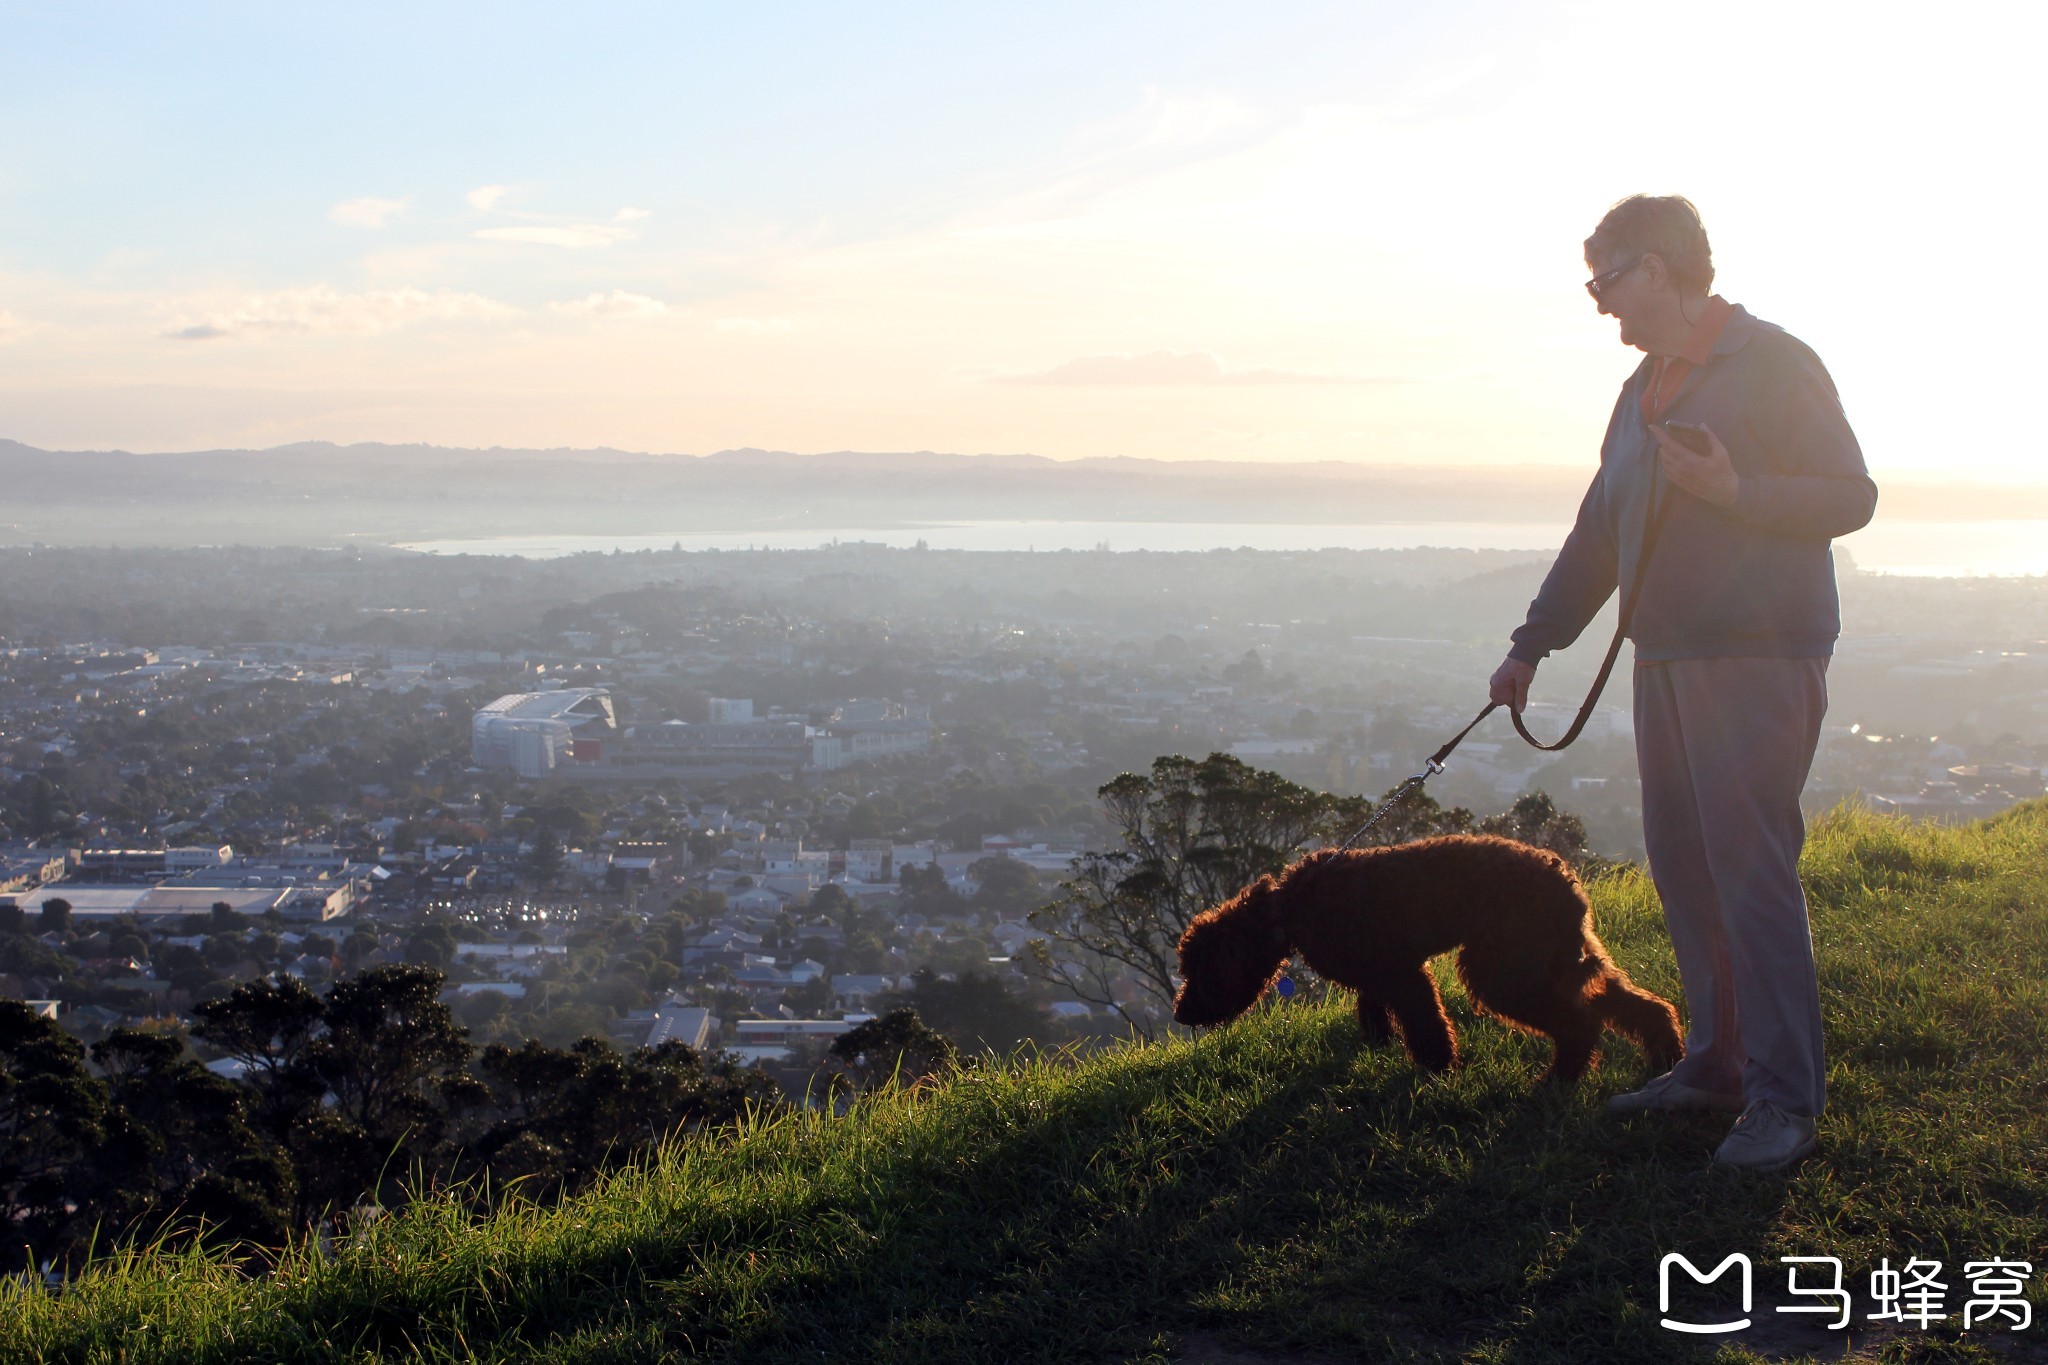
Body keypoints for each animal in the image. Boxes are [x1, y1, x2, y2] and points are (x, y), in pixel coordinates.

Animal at [1171, 826, 1679, 1080]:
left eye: (1199, 971)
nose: (1180, 1014)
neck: (1290, 909)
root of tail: (1567, 880)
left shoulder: (1404, 975)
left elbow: (1425, 1022)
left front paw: (1438, 1067)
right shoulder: (1378, 973)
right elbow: (1373, 1008)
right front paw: (1378, 1044)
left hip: (1506, 969)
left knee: (1581, 1023)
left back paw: (1560, 1079)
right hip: (1552, 961)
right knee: (1634, 1006)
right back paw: (1665, 1055)